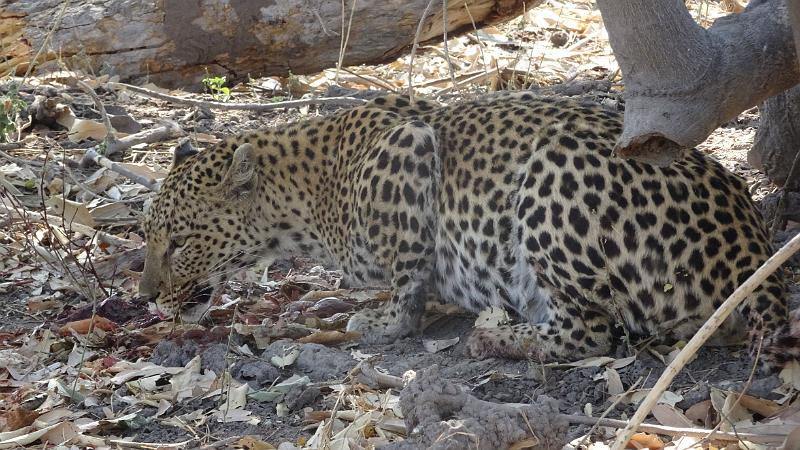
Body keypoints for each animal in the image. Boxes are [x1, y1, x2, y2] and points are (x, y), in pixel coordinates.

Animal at [139, 92, 792, 370]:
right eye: (148, 238)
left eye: (181, 243)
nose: (145, 296)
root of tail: (753, 252)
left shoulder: (409, 154)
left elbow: (405, 280)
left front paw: (380, 321)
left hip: (550, 174)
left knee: (590, 333)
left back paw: (496, 336)